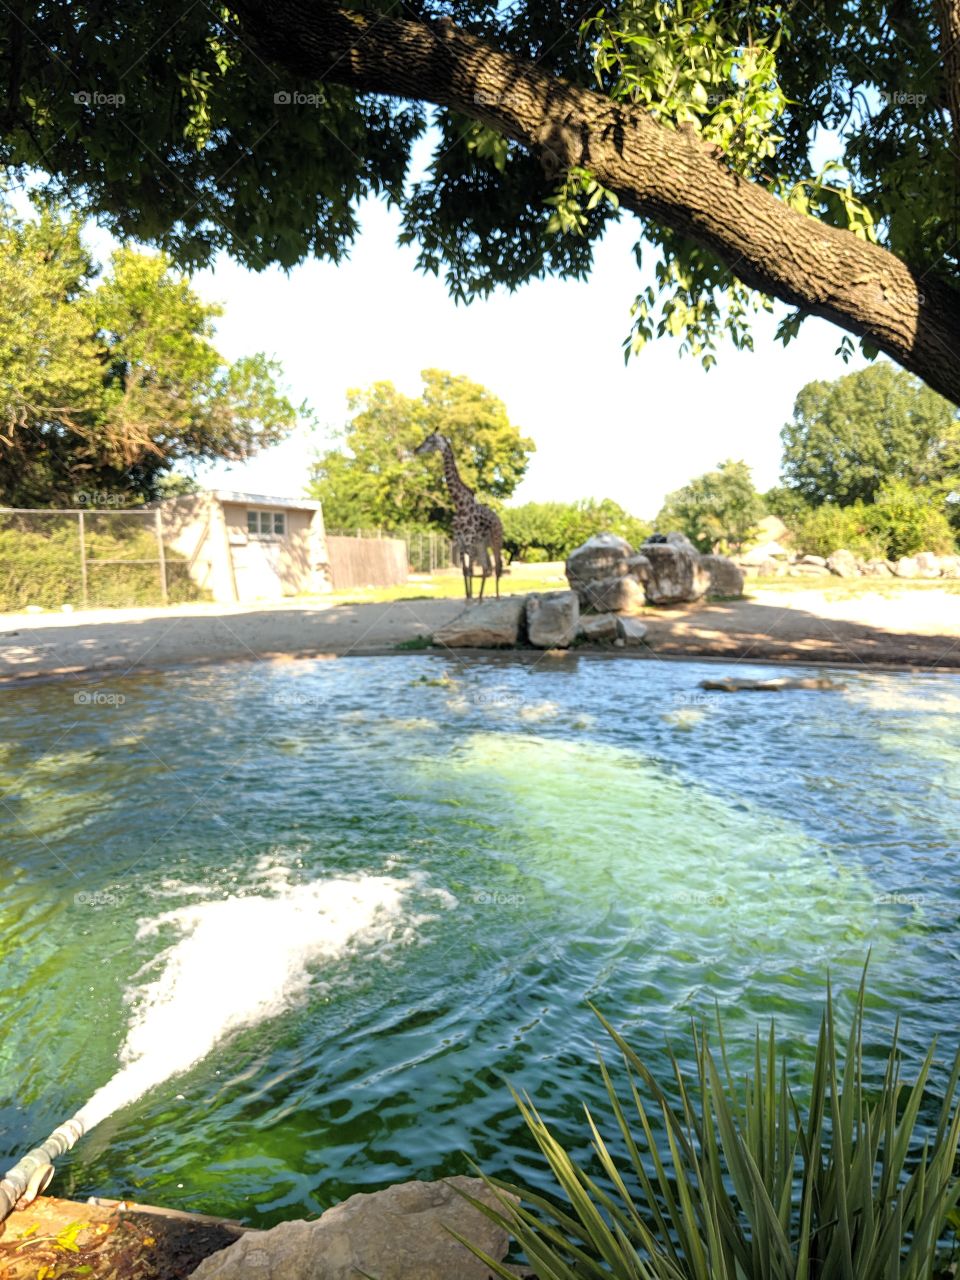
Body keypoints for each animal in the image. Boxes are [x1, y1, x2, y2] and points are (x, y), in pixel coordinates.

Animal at [413, 432, 504, 601]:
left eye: (430, 440)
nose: (416, 450)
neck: (459, 505)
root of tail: (498, 520)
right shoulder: (460, 542)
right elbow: (464, 571)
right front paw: (468, 598)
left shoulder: (468, 541)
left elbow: (470, 570)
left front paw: (470, 598)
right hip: (482, 545)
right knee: (487, 568)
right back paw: (480, 598)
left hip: (496, 541)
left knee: (497, 567)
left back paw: (496, 597)